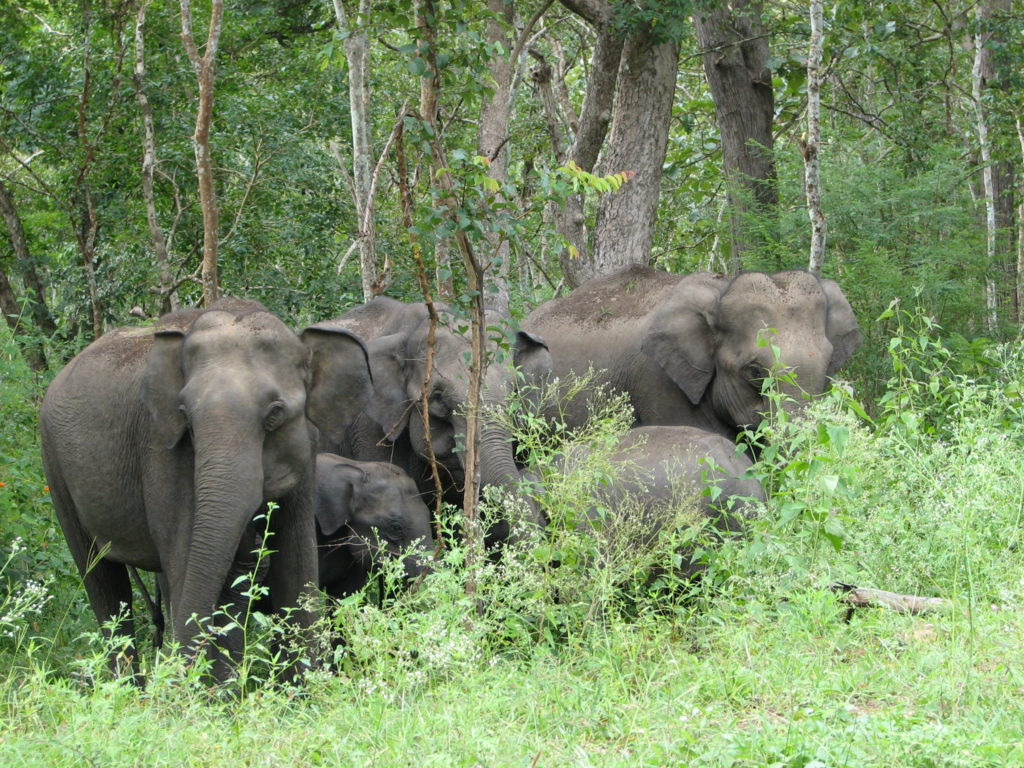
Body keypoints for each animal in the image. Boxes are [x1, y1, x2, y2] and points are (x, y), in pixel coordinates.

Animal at [39, 298, 373, 681]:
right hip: (54, 466)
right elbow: (186, 562)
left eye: (275, 413)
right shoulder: (163, 452)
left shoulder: (306, 452)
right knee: (102, 581)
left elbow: (296, 568)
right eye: (186, 415)